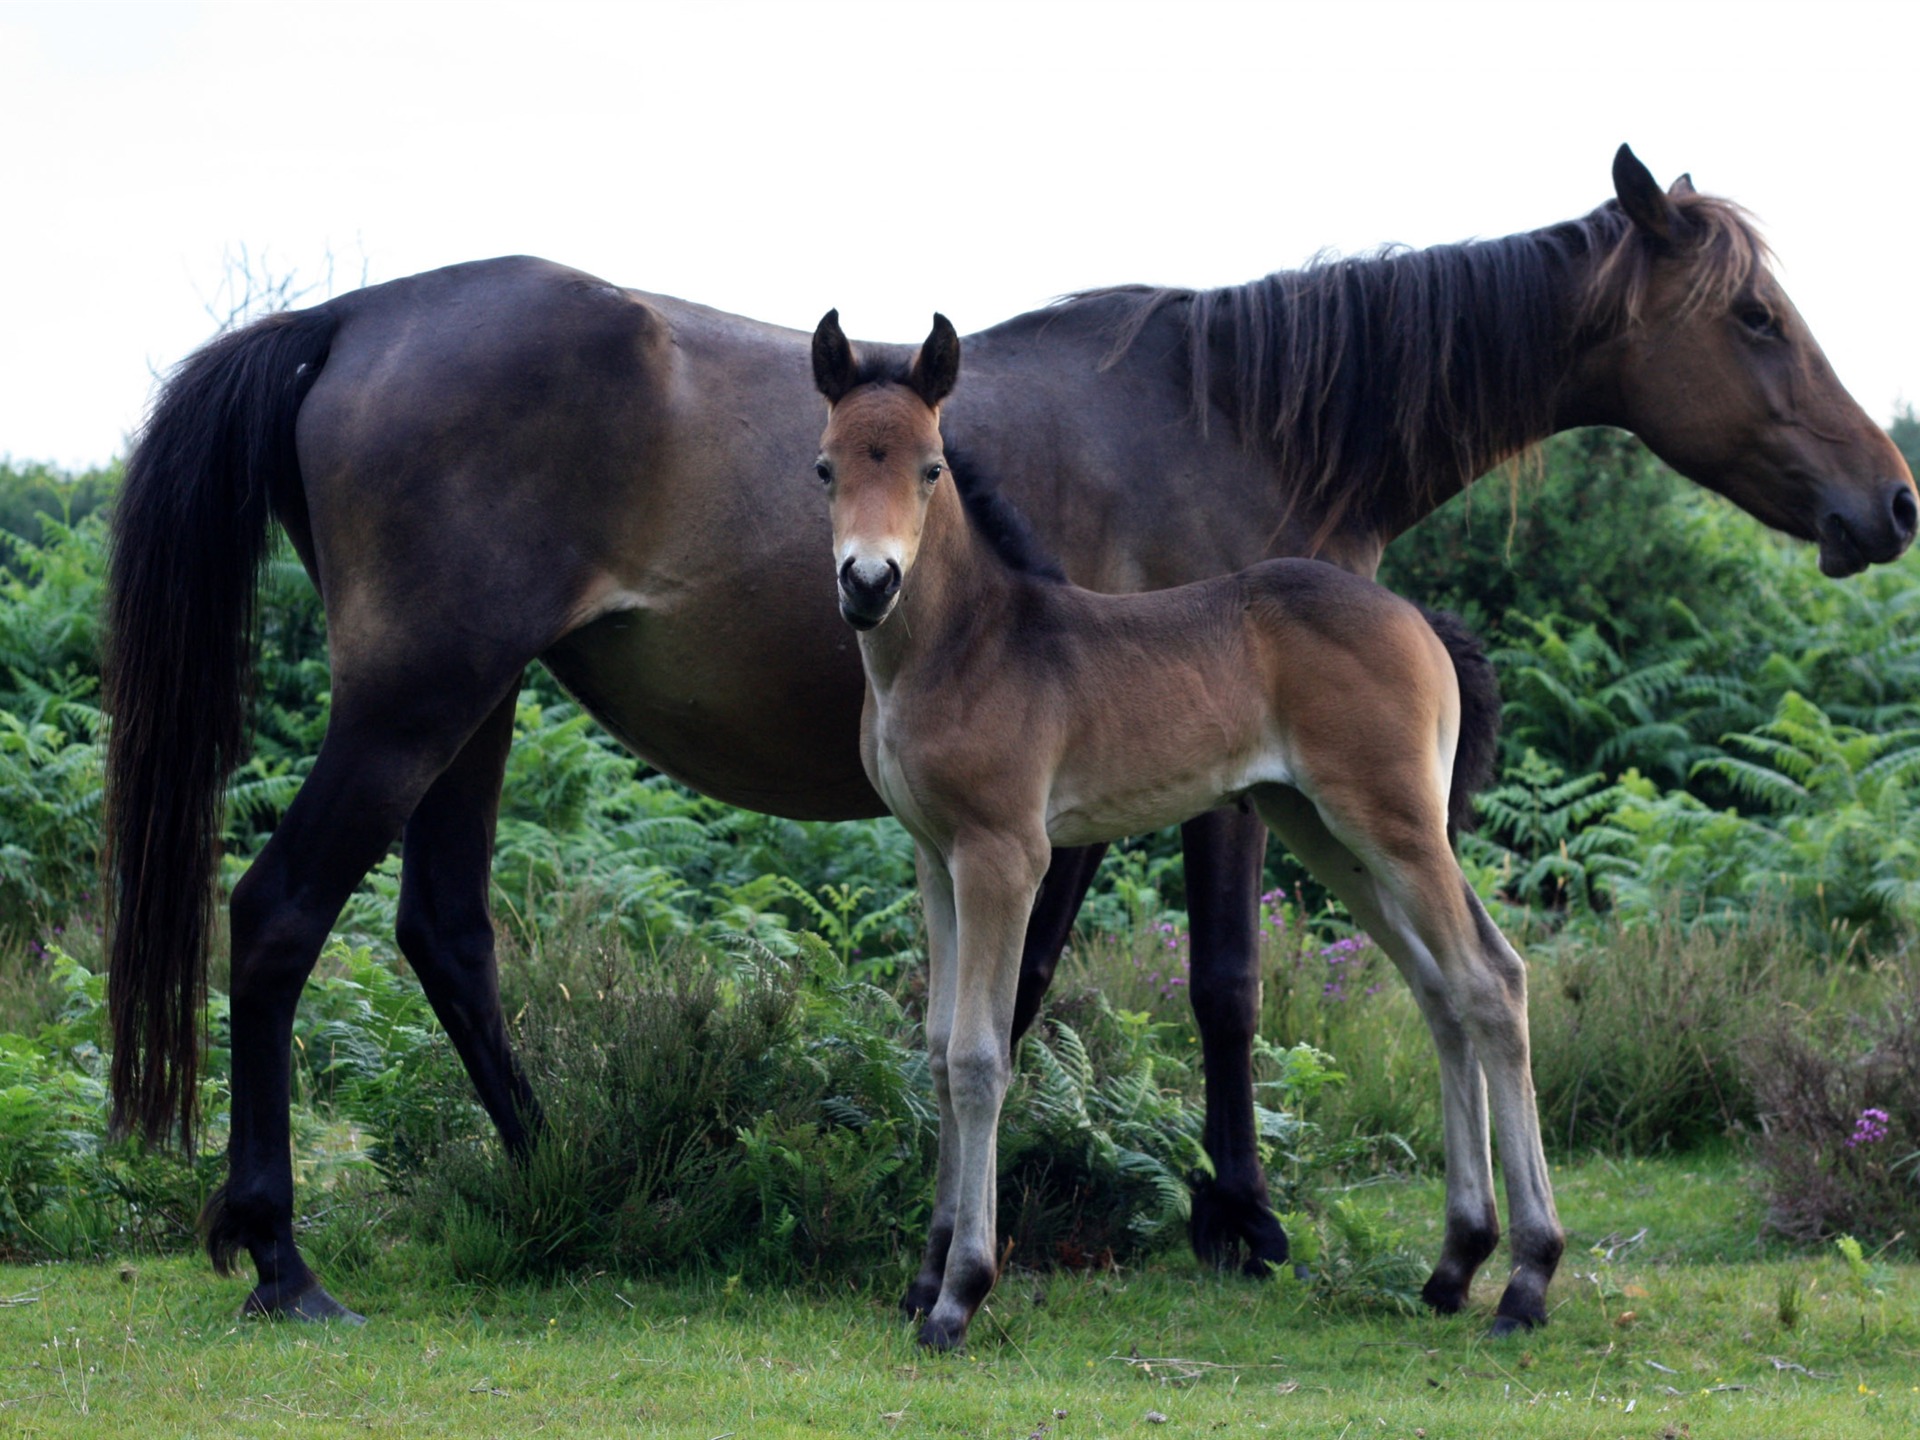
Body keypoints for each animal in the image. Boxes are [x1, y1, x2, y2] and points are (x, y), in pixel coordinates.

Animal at [104, 146, 1915, 1322]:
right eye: (1755, 319)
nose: (1888, 501)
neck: (1243, 415)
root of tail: (347, 321)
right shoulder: (1190, 797)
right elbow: (1210, 987)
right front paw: (1231, 1221)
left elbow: (1038, 996)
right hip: (417, 699)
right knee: (280, 916)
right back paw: (280, 1251)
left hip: (474, 708)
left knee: (445, 933)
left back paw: (580, 1183)